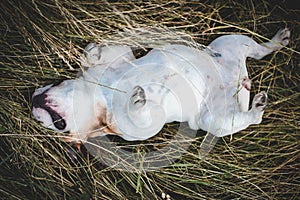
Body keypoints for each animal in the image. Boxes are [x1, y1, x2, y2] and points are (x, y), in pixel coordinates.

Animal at [32, 28, 290, 144]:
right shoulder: (133, 129)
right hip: (214, 120)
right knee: (249, 117)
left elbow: (99, 55)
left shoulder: (117, 60)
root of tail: (241, 80)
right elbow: (140, 113)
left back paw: (278, 40)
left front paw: (93, 51)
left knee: (259, 50)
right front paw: (135, 101)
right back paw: (258, 105)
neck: (100, 95)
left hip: (229, 41)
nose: (33, 98)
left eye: (56, 83)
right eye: (57, 127)